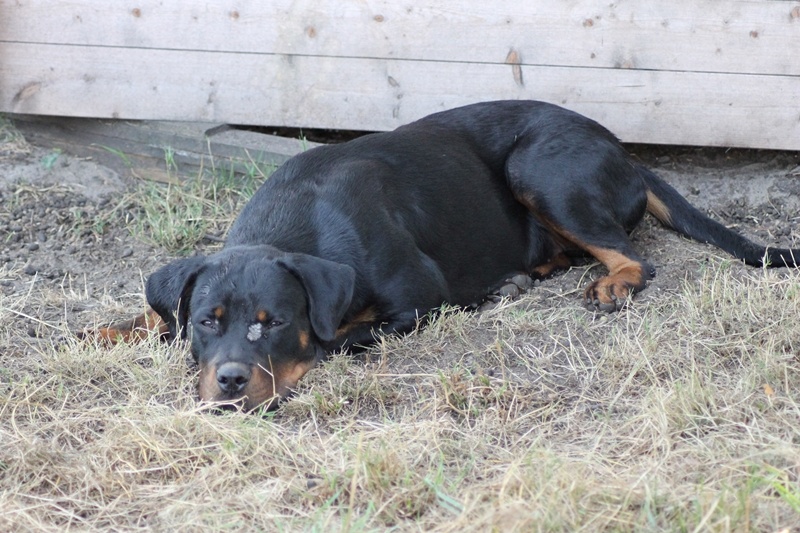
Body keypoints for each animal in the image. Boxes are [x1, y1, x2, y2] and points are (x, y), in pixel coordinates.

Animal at [97, 101, 796, 412]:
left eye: (275, 323)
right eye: (207, 320)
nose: (231, 383)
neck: (300, 226)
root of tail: (626, 153)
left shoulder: (417, 301)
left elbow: (340, 337)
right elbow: (153, 312)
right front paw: (109, 330)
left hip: (540, 167)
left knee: (631, 256)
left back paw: (609, 283)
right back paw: (524, 275)